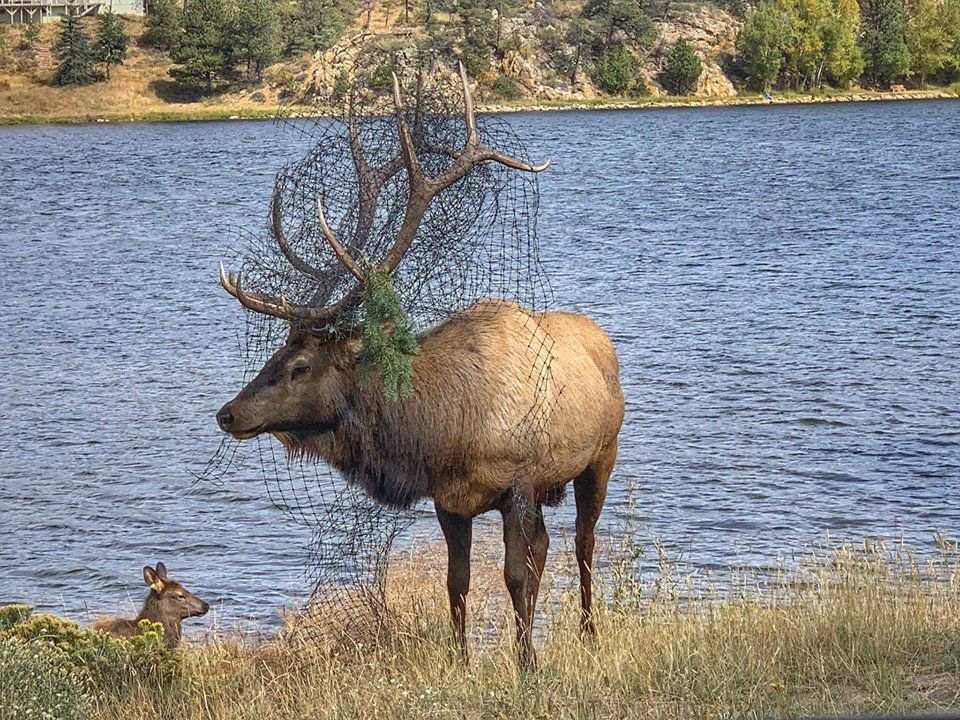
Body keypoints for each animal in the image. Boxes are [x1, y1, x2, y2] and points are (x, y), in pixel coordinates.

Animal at [215, 65, 624, 669]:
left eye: (301, 366)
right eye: (275, 354)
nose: (228, 413)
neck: (446, 428)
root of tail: (603, 340)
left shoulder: (518, 483)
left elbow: (514, 576)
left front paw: (527, 664)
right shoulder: (450, 500)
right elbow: (458, 582)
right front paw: (462, 661)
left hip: (601, 455)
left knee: (583, 541)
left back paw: (590, 633)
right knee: (551, 547)